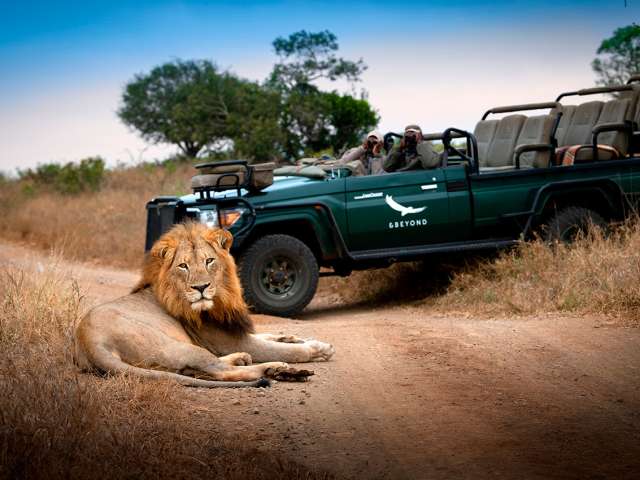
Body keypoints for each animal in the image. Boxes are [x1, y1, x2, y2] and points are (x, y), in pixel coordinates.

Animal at [74, 222, 335, 388]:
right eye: (183, 266)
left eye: (209, 261)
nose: (201, 287)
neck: (222, 298)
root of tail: (89, 343)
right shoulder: (228, 340)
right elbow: (285, 349)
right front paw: (317, 349)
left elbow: (269, 335)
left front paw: (292, 337)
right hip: (175, 346)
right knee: (221, 372)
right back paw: (277, 369)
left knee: (203, 369)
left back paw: (244, 359)